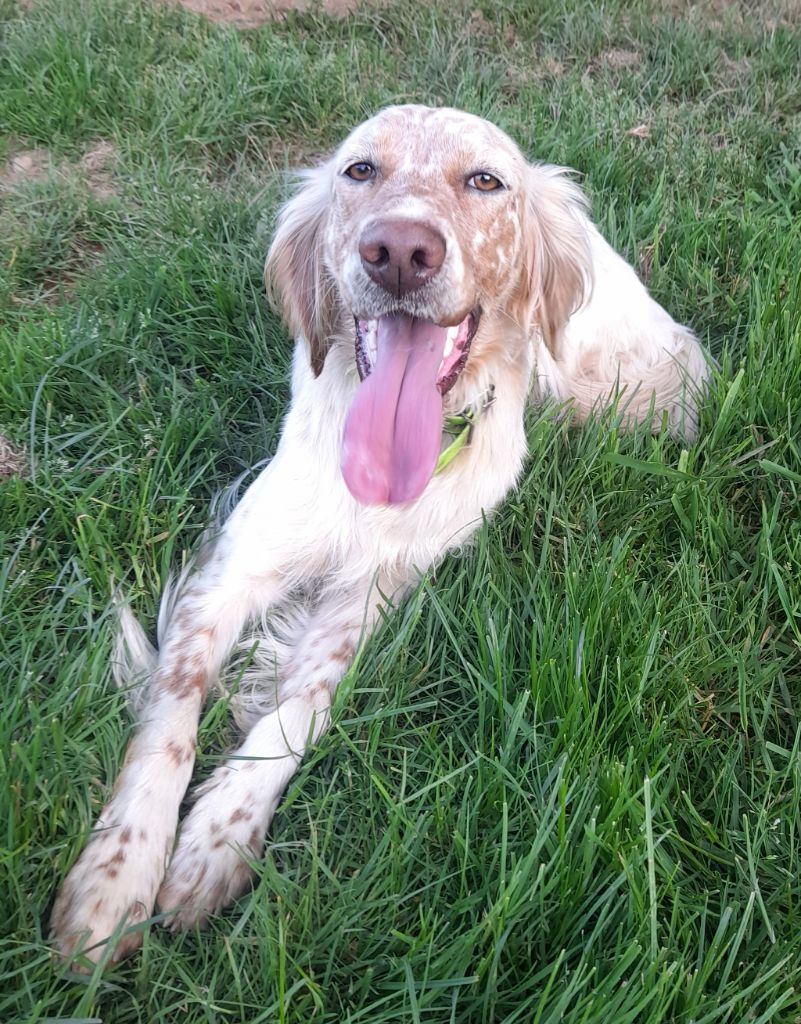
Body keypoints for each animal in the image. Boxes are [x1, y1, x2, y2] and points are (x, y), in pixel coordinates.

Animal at [48, 99, 708, 962]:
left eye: (484, 180)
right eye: (359, 170)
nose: (398, 252)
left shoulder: (377, 586)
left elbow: (304, 703)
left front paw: (216, 837)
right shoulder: (237, 564)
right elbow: (171, 711)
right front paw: (117, 871)